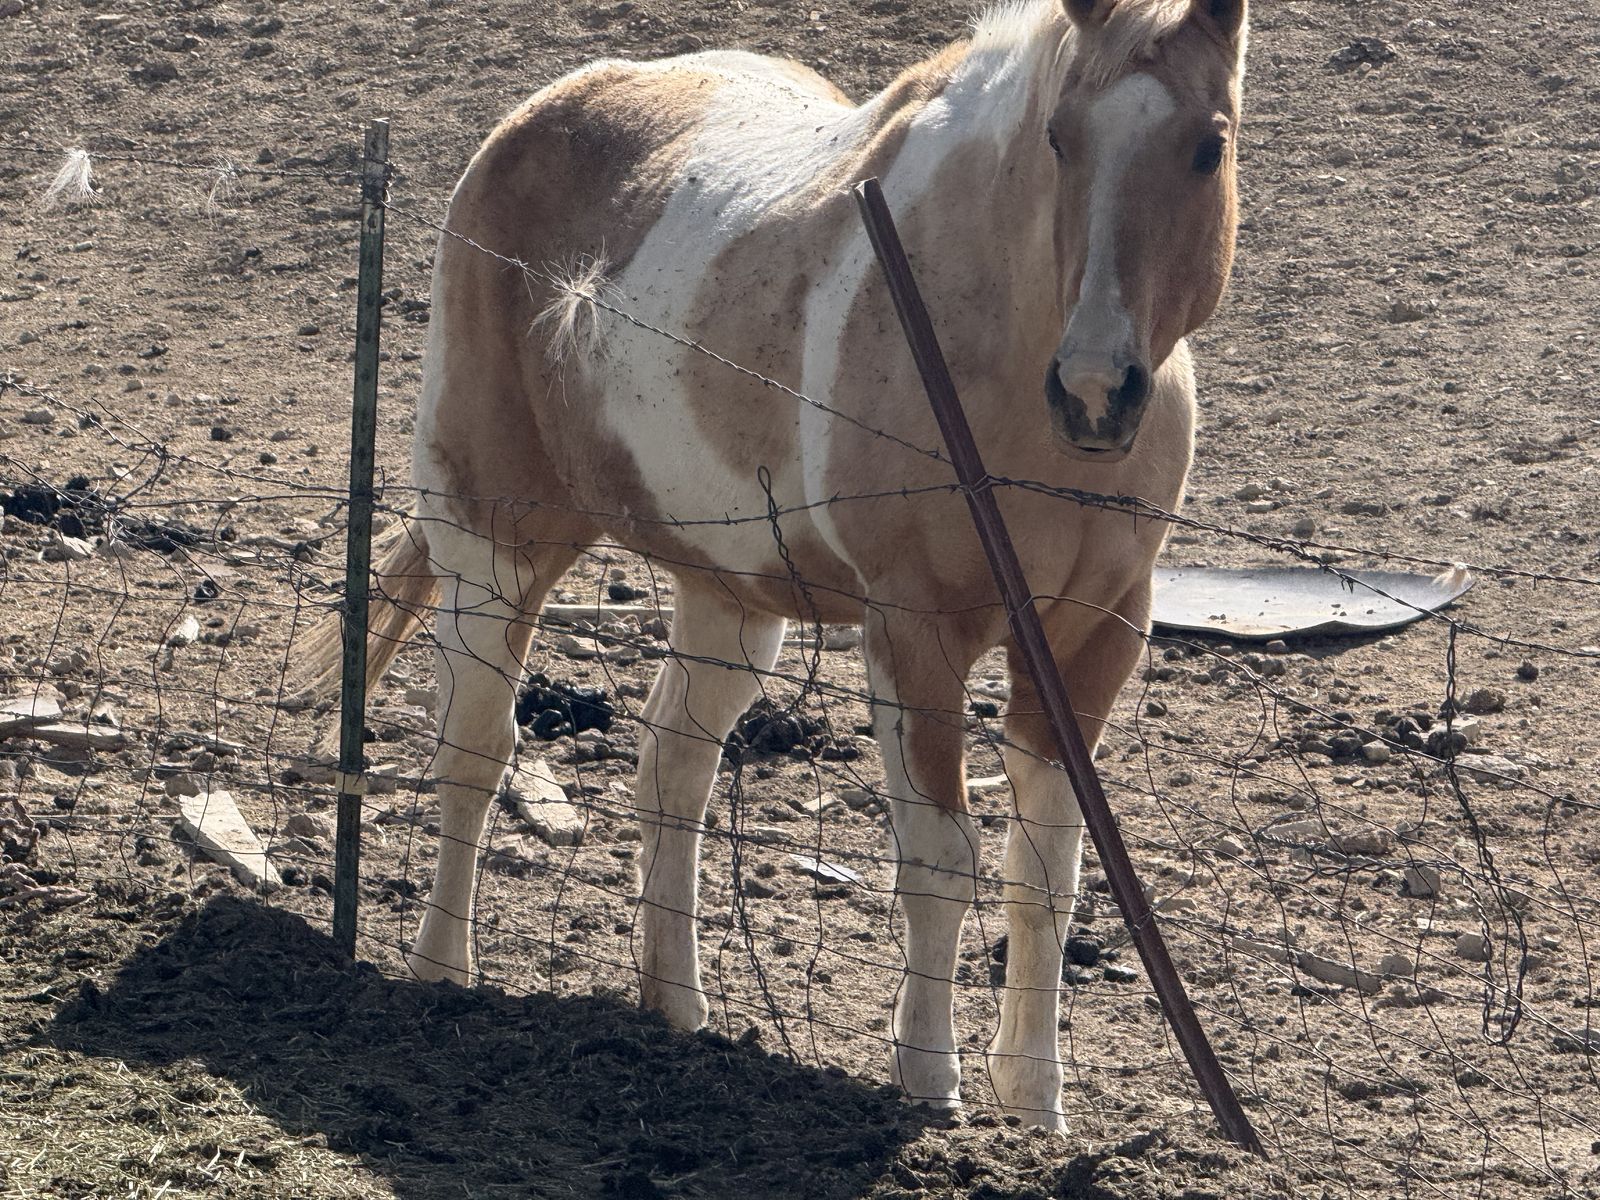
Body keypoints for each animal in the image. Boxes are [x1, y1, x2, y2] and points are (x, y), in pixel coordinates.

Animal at [299, 0, 1247, 1131]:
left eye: (1209, 145)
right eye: (1059, 138)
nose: (1096, 391)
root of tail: (539, 114)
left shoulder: (1093, 637)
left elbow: (1046, 875)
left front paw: (1033, 1102)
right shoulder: (916, 634)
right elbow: (941, 860)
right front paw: (930, 1081)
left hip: (729, 600)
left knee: (671, 768)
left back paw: (674, 1004)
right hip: (494, 541)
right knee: (475, 753)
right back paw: (443, 972)